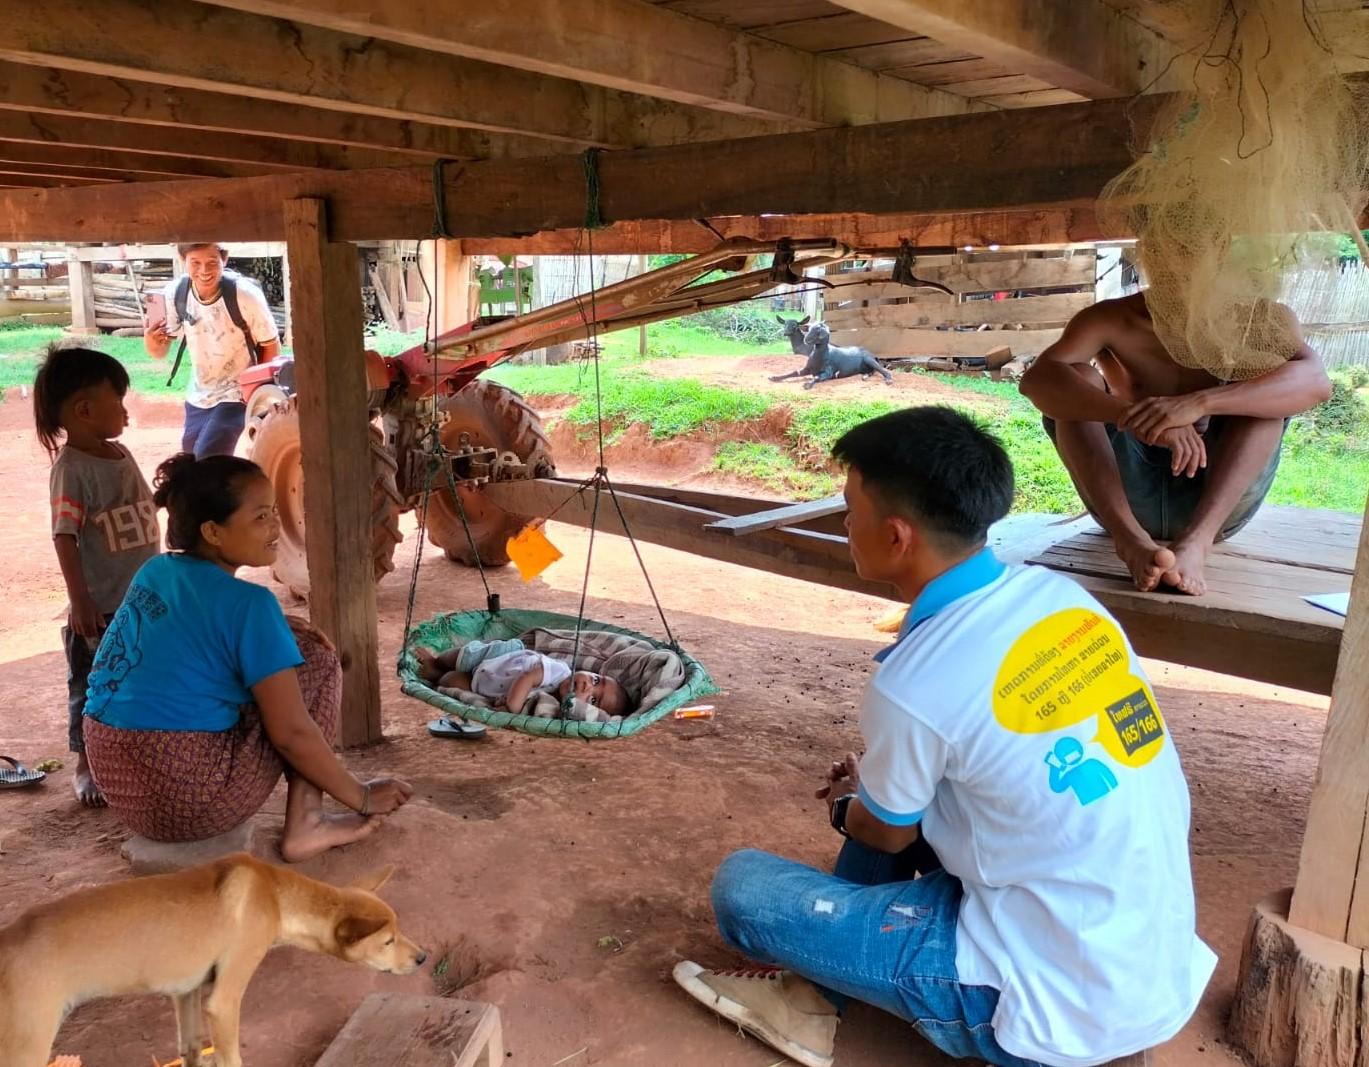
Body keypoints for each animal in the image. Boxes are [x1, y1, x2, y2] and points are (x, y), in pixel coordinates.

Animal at [0, 849, 424, 1067]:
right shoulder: (223, 1001)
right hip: (25, 1047)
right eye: (388, 941)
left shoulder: (185, 992)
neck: (275, 894)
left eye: (398, 931)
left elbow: (190, 1049)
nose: (422, 958)